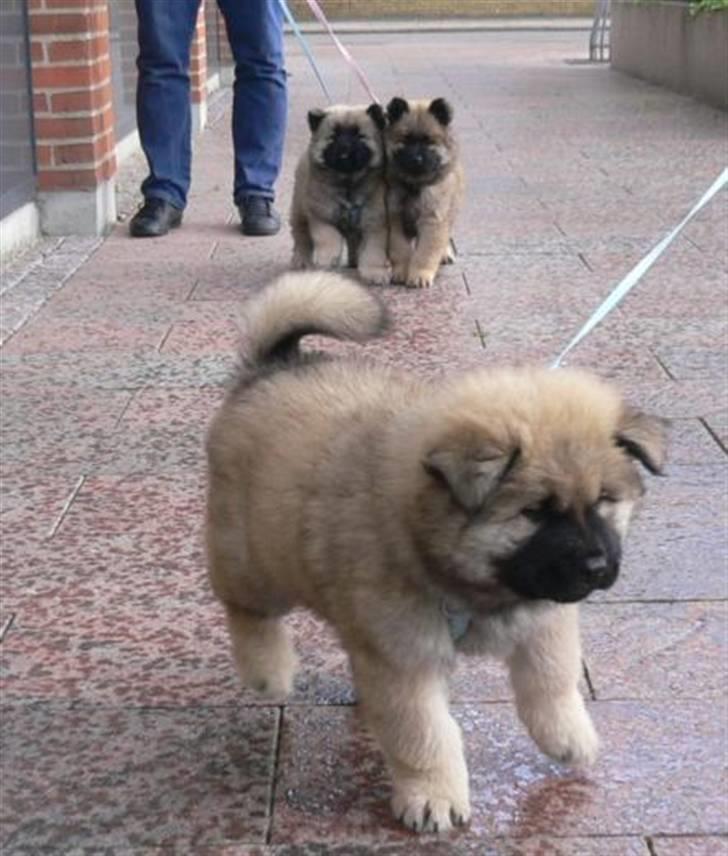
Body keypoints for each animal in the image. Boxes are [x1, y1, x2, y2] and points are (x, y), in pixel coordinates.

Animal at [208, 274, 668, 836]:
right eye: (535, 512)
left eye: (604, 501)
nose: (598, 567)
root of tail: (273, 367)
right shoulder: (407, 656)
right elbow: (424, 733)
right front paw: (433, 797)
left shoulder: (544, 615)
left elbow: (552, 677)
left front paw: (567, 735)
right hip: (253, 558)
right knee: (246, 610)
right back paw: (267, 669)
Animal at [290, 103, 392, 284]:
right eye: (334, 137)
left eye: (359, 136)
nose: (345, 150)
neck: (347, 183)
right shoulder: (321, 217)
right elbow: (329, 237)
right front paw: (327, 257)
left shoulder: (375, 225)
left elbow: (373, 251)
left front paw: (374, 272)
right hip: (299, 211)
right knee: (301, 237)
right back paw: (301, 260)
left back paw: (354, 262)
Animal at [384, 98, 464, 288]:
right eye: (406, 140)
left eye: (429, 141)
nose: (416, 159)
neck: (415, 185)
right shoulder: (395, 219)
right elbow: (400, 249)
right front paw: (401, 271)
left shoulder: (433, 219)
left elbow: (426, 252)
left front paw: (420, 275)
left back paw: (445, 254)